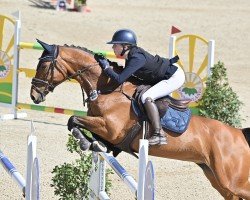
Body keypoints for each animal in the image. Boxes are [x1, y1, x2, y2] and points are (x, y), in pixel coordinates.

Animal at [29, 40, 250, 200]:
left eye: (44, 65)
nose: (34, 95)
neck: (109, 89)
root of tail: (239, 133)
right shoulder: (105, 129)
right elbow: (76, 125)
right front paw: (93, 144)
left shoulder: (110, 128)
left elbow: (73, 119)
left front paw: (86, 142)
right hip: (218, 179)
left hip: (232, 181)